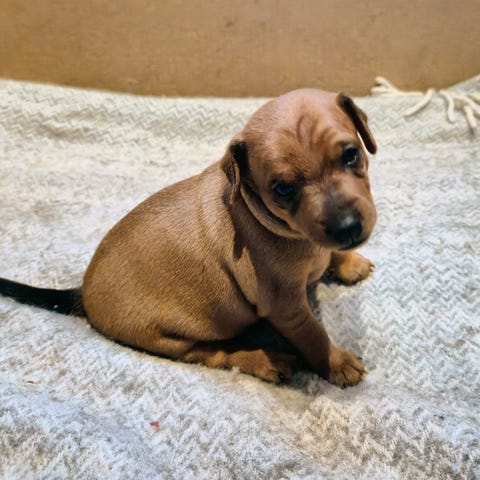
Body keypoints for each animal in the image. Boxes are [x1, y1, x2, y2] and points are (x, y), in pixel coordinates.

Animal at [0, 89, 377, 386]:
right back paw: (267, 360)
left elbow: (332, 254)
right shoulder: (285, 306)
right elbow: (313, 335)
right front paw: (335, 363)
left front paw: (348, 263)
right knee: (216, 354)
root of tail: (82, 293)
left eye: (350, 154)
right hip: (173, 339)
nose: (346, 227)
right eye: (283, 189)